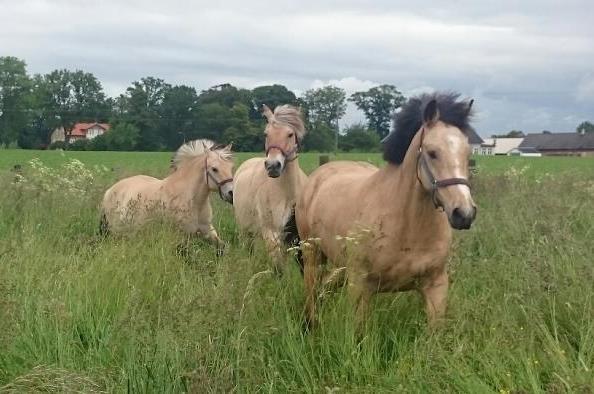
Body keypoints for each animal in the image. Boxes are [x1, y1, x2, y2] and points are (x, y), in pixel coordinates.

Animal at [100, 139, 232, 249]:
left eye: (231, 167)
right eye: (214, 169)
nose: (231, 193)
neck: (192, 200)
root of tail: (109, 191)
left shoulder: (208, 230)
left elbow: (222, 248)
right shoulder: (181, 237)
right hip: (116, 232)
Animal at [230, 103, 306, 272]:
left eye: (290, 134)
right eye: (266, 134)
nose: (272, 166)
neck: (287, 193)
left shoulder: (296, 236)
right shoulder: (271, 232)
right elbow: (278, 269)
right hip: (245, 231)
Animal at [296, 92, 476, 330]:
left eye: (468, 153)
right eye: (432, 152)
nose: (464, 214)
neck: (407, 227)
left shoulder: (436, 286)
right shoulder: (360, 286)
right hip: (312, 255)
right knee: (312, 292)